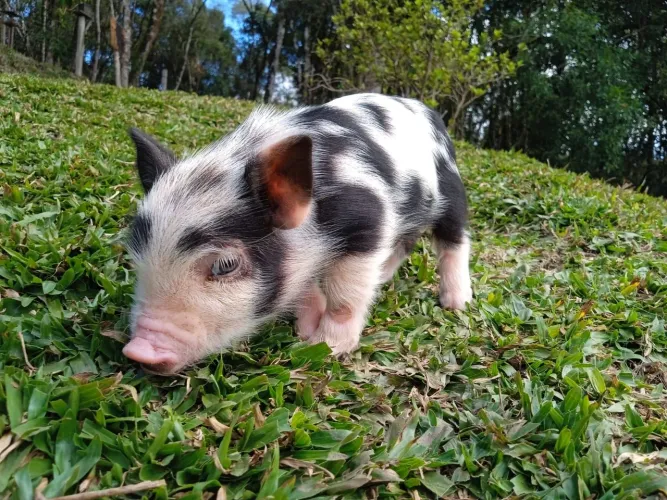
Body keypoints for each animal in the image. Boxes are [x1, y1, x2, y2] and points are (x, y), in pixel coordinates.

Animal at [122, 93, 472, 374]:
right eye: (137, 255)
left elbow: (345, 298)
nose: (138, 352)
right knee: (407, 241)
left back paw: (456, 303)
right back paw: (384, 277)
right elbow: (304, 289)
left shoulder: (369, 219)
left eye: (226, 265)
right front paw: (305, 332)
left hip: (451, 188)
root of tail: (427, 111)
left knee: (455, 239)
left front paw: (326, 348)